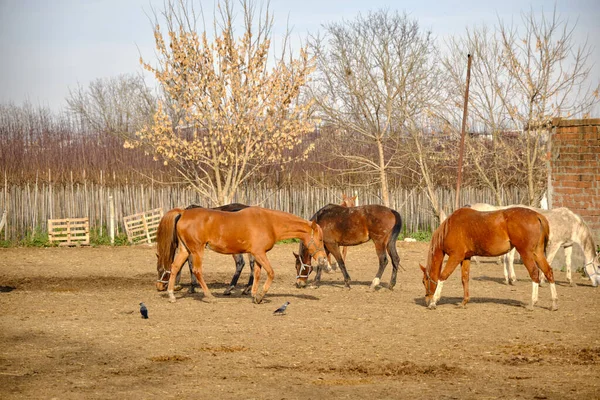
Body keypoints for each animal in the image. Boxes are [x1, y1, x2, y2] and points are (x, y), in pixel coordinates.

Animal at [152, 206, 326, 304]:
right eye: (320, 239)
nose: (323, 260)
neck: (269, 222)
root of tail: (183, 212)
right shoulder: (259, 253)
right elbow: (270, 272)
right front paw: (260, 296)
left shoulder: (257, 254)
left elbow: (257, 274)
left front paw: (254, 295)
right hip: (196, 250)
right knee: (197, 271)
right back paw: (210, 296)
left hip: (185, 250)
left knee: (174, 267)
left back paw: (171, 295)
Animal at [422, 208, 556, 310]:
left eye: (424, 281)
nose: (427, 300)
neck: (450, 228)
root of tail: (537, 216)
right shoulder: (466, 258)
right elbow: (465, 278)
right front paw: (464, 302)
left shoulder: (456, 257)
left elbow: (443, 276)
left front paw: (434, 301)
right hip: (537, 253)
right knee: (548, 272)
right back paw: (554, 303)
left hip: (526, 253)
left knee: (534, 273)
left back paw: (532, 302)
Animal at [468, 203, 600, 288]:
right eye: (598, 266)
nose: (597, 284)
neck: (571, 223)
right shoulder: (554, 245)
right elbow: (549, 261)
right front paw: (542, 281)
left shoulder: (567, 245)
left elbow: (568, 263)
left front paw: (570, 281)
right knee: (509, 259)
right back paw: (513, 279)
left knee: (506, 258)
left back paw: (507, 279)